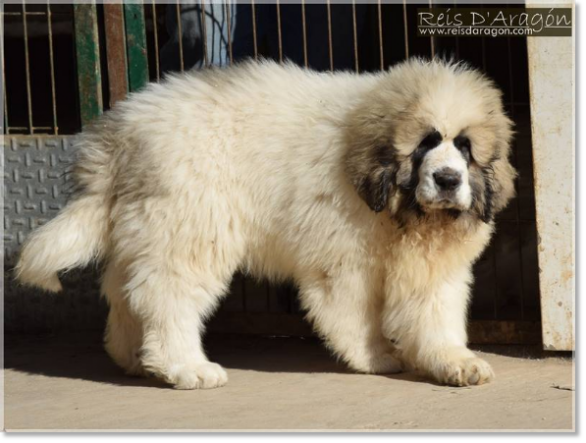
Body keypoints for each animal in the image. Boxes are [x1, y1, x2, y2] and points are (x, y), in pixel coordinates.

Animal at [16, 58, 512, 388]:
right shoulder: (344, 261)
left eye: (465, 148)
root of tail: (120, 131)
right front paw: (375, 356)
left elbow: (437, 313)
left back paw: (138, 359)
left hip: (146, 230)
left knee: (124, 292)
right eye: (426, 142)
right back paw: (186, 367)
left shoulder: (434, 266)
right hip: (190, 228)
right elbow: (356, 314)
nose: (447, 179)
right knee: (166, 294)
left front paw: (455, 361)